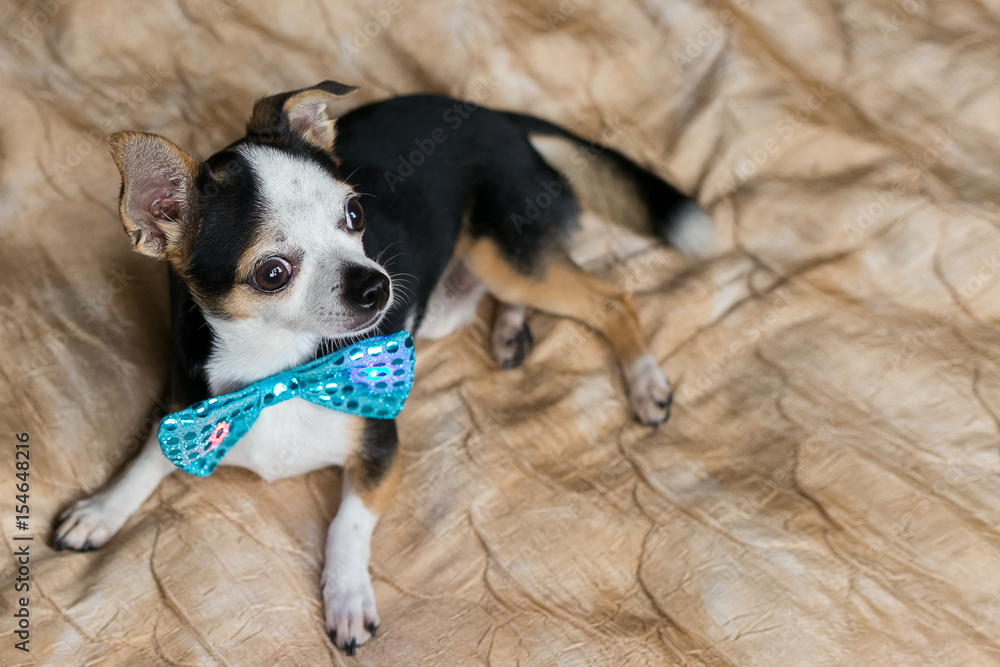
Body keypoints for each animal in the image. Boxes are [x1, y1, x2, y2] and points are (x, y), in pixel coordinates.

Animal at [50, 81, 716, 656]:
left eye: (354, 215)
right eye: (272, 272)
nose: (376, 285)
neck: (278, 372)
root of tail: (486, 111)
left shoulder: (381, 448)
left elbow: (347, 523)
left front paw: (347, 598)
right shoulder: (183, 407)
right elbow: (146, 459)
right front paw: (101, 511)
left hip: (504, 255)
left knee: (611, 299)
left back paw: (646, 383)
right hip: (449, 301)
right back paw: (510, 332)